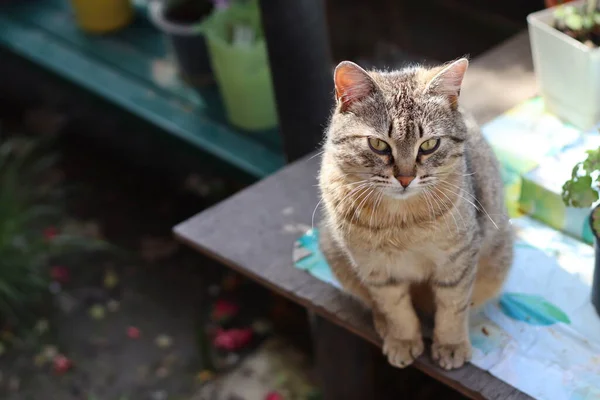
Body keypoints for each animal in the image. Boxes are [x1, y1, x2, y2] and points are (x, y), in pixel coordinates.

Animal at [322, 57, 512, 370]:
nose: (405, 178)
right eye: (378, 145)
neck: (401, 221)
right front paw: (403, 339)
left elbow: (452, 307)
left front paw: (451, 344)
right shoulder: (375, 269)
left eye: (429, 145)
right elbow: (395, 308)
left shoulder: (457, 260)